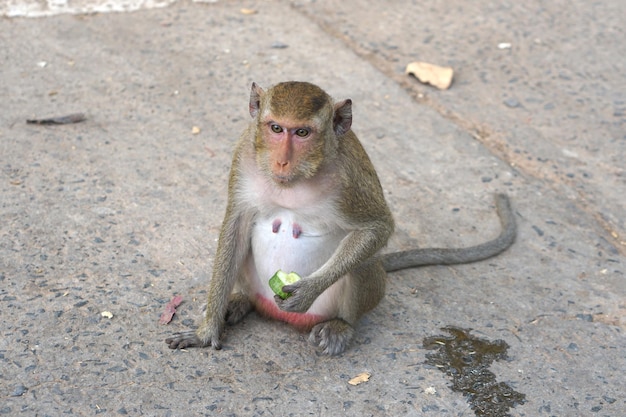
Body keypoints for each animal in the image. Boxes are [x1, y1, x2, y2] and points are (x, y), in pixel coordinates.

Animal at [163, 80, 516, 354]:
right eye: (276, 128)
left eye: (302, 133)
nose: (282, 161)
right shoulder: (243, 153)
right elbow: (236, 226)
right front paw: (207, 331)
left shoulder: (350, 179)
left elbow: (377, 228)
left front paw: (306, 291)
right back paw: (240, 301)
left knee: (363, 261)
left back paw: (341, 326)